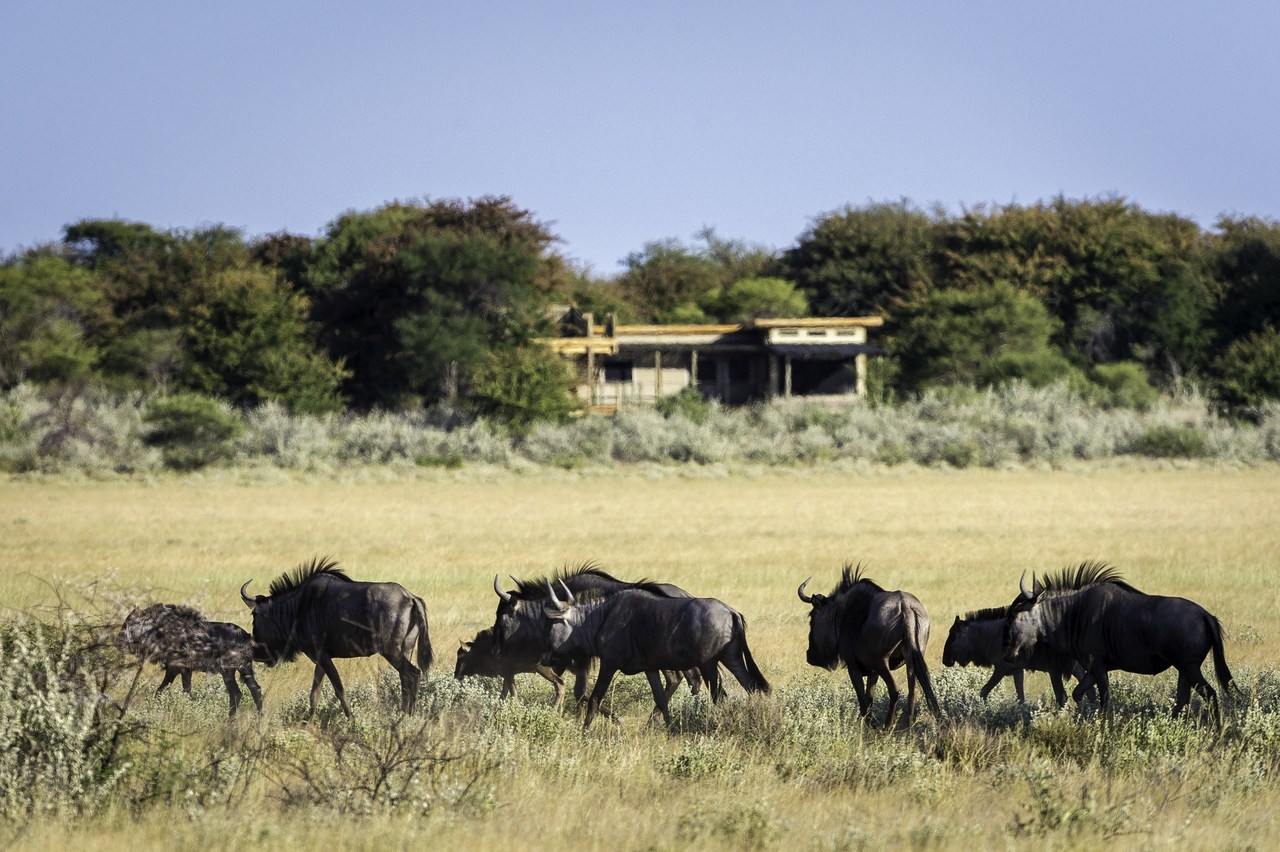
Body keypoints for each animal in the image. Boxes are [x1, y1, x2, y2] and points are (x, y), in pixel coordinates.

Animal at [123, 603, 266, 716]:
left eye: (129, 623)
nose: (122, 638)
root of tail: (247, 636)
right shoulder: (186, 670)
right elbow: (186, 690)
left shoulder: (174, 669)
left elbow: (161, 690)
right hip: (242, 670)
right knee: (253, 690)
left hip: (229, 671)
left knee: (237, 694)